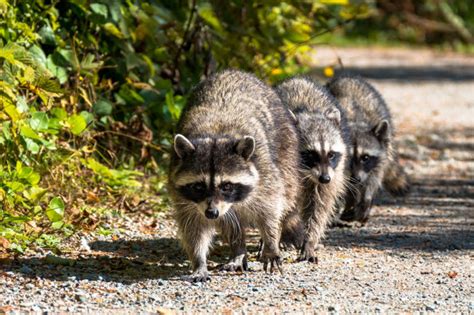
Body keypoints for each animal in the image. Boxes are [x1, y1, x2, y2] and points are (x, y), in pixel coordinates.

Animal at [168, 70, 300, 282]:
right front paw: (199, 261)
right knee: (231, 224)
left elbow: (270, 210)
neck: (215, 134)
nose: (211, 213)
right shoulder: (182, 194)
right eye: (198, 186)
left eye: (227, 186)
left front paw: (271, 243)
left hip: (286, 152)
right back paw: (238, 251)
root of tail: (233, 71)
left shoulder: (265, 173)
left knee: (285, 197)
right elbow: (193, 227)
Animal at [276, 78, 350, 262]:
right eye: (310, 154)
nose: (324, 179)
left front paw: (309, 240)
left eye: (331, 154)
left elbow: (319, 207)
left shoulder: (333, 174)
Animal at [328, 73, 410, 225]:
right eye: (348, 158)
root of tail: (346, 77)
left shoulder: (376, 161)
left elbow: (371, 181)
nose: (356, 178)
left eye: (365, 157)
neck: (354, 122)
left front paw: (365, 203)